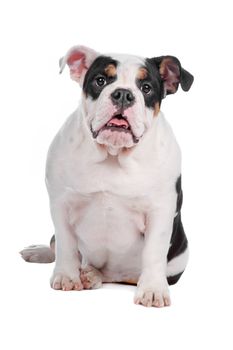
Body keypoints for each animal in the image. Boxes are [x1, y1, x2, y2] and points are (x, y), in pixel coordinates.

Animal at [20, 45, 194, 308]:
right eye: (100, 81)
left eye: (146, 87)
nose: (123, 94)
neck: (113, 154)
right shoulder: (60, 203)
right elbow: (65, 244)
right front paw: (67, 276)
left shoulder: (160, 211)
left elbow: (154, 252)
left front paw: (152, 290)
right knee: (57, 245)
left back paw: (93, 275)